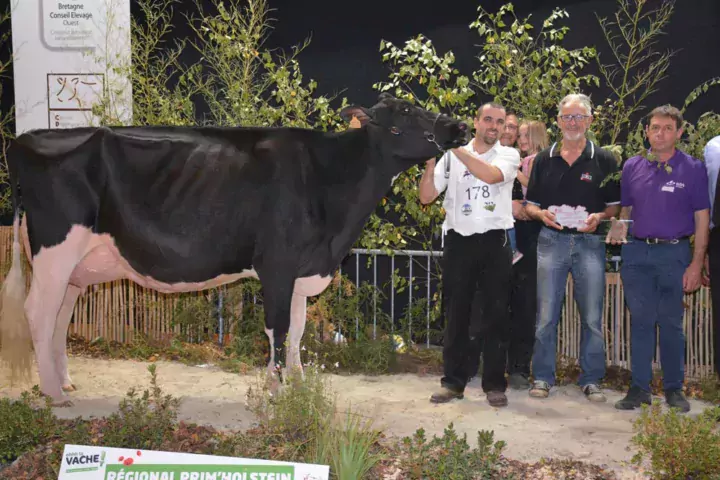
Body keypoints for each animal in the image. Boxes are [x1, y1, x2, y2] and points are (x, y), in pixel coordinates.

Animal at [0, 93, 470, 404]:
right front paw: (277, 388)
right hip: (54, 253)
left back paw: (65, 382)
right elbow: (277, 329)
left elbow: (297, 329)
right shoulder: (277, 265)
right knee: (38, 313)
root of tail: (24, 140)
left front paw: (298, 383)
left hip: (75, 269)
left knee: (60, 318)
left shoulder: (300, 269)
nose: (460, 127)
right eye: (406, 111)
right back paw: (53, 395)